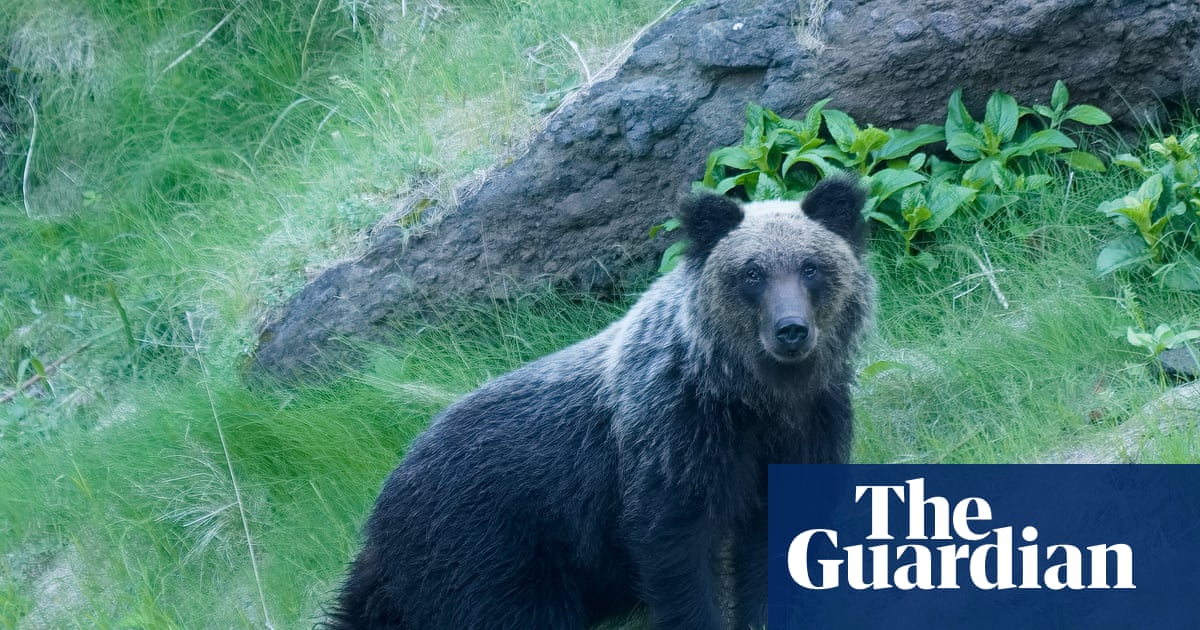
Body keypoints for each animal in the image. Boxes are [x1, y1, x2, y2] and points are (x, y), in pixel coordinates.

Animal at [329, 176, 875, 630]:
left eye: (811, 267)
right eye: (752, 273)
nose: (791, 331)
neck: (752, 398)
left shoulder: (807, 430)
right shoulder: (674, 443)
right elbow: (677, 553)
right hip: (486, 547)